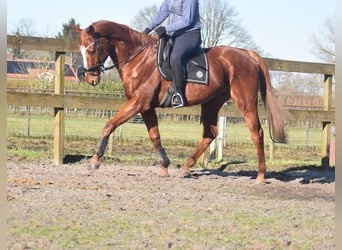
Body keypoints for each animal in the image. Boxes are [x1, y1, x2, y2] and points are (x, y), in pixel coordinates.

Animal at [75, 20, 286, 182]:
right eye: (81, 50)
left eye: (92, 49)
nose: (91, 80)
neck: (138, 58)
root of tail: (246, 54)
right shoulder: (146, 107)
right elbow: (155, 136)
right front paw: (164, 166)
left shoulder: (138, 103)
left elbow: (109, 124)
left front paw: (95, 160)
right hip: (211, 103)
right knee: (210, 133)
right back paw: (185, 167)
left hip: (245, 102)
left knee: (256, 132)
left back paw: (261, 175)